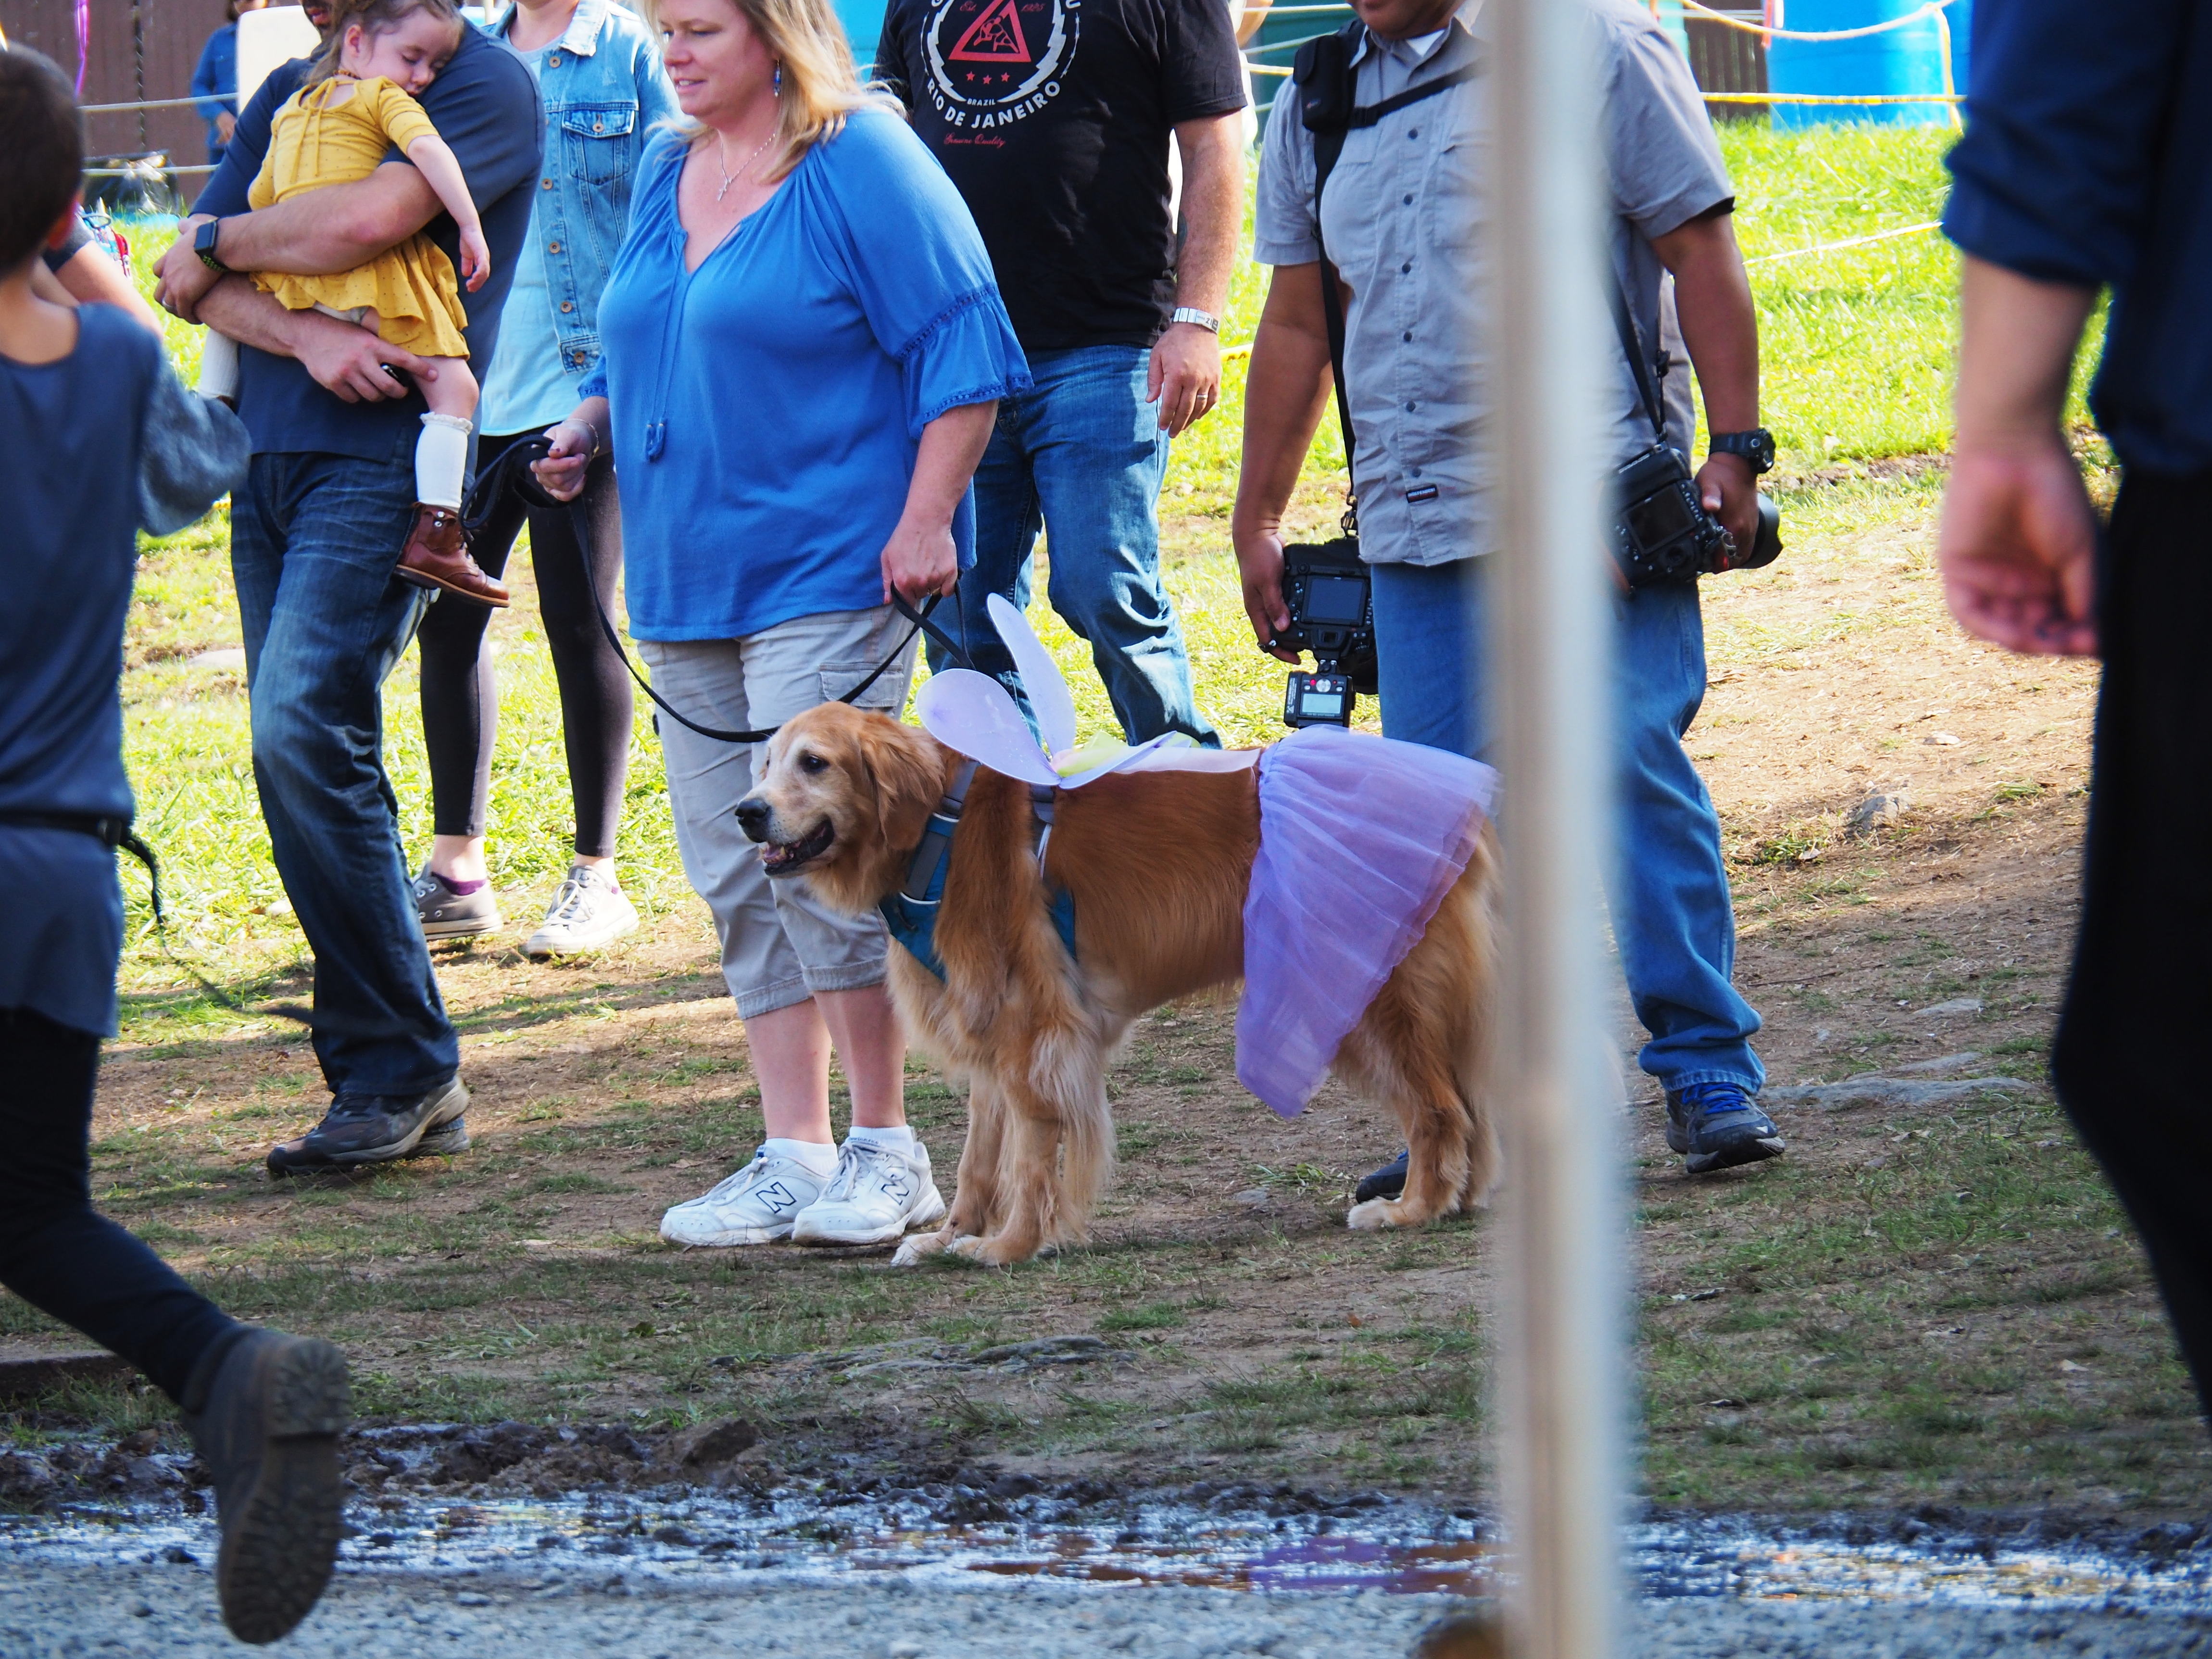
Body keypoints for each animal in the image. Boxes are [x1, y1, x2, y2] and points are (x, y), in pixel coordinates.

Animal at [735, 703, 1499, 1266]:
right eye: (766, 764)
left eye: (815, 763)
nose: (746, 812)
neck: (935, 828)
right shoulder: (987, 1034)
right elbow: (979, 1160)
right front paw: (952, 1237)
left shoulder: (1033, 1032)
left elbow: (1028, 1157)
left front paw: (1010, 1247)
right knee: (1470, 1109)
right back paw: (1459, 1199)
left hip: (1368, 998)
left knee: (1440, 1110)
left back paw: (1414, 1208)